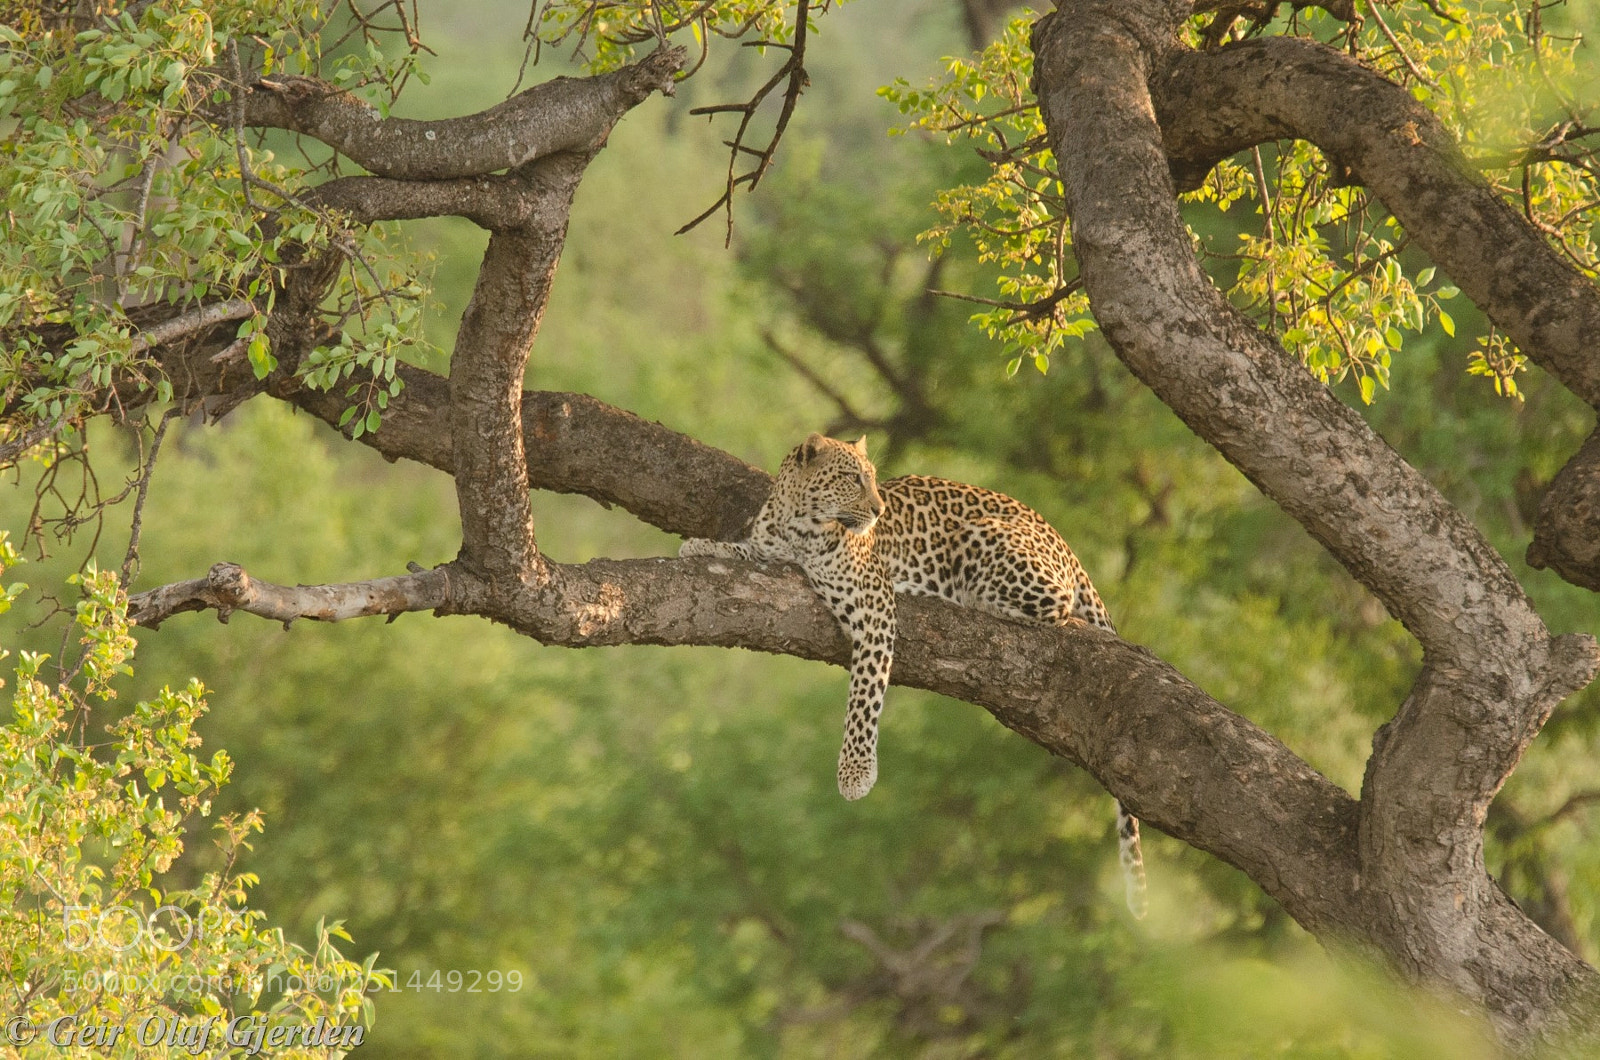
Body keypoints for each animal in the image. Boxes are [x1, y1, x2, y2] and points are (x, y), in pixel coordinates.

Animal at [680, 432, 1148, 917]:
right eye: (852, 478)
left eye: (871, 478)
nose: (879, 509)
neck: (797, 527)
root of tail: (1062, 540)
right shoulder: (770, 548)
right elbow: (745, 549)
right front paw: (704, 545)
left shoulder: (875, 604)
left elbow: (863, 695)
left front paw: (855, 773)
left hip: (987, 538)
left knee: (1056, 604)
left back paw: (964, 593)